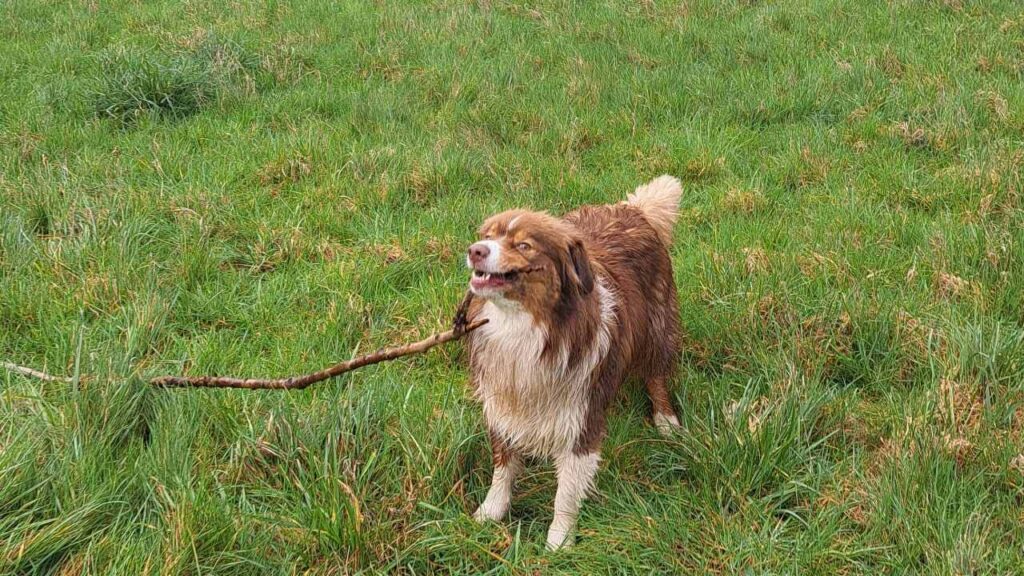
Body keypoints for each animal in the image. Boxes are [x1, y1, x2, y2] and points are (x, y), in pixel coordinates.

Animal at [462, 174, 679, 545]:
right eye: (487, 236)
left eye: (524, 245)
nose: (475, 250)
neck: (523, 327)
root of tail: (633, 209)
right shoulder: (502, 402)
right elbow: (502, 467)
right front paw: (490, 513)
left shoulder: (581, 416)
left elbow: (566, 492)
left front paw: (559, 542)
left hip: (657, 325)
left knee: (656, 374)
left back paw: (666, 421)